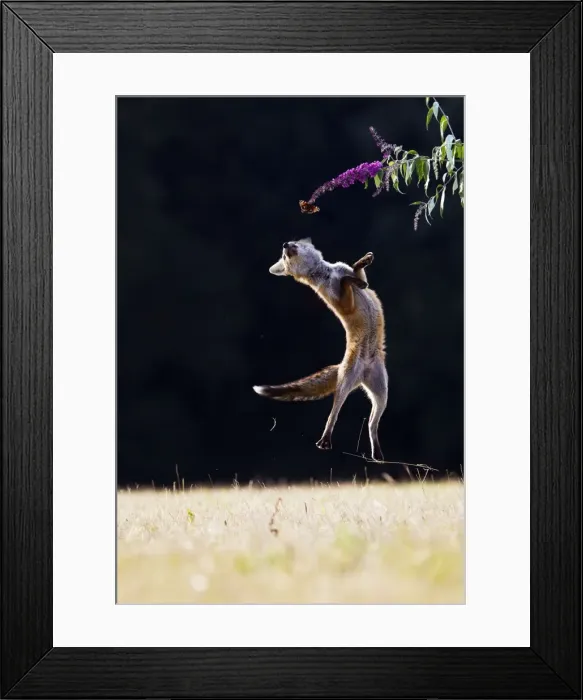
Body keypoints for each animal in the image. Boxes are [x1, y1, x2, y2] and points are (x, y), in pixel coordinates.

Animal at [253, 238, 388, 462]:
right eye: (283, 257)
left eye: (291, 245)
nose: (285, 244)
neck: (327, 273)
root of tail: (361, 374)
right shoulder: (342, 304)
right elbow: (347, 282)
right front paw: (355, 278)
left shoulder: (348, 273)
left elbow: (356, 273)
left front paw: (363, 262)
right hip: (345, 385)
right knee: (333, 415)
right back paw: (325, 440)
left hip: (381, 394)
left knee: (372, 424)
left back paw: (377, 454)